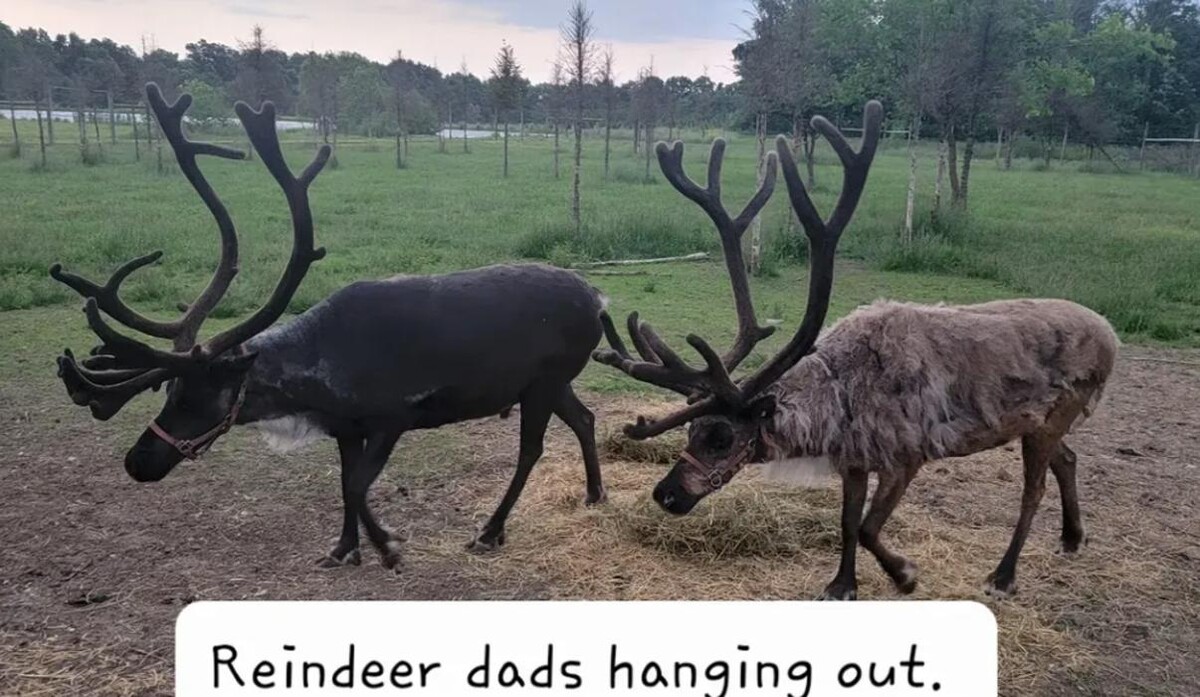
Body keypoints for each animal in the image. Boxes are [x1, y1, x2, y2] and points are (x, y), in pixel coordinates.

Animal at [49, 83, 612, 571]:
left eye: (201, 395)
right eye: (168, 390)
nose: (136, 461)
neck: (314, 383)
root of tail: (598, 299)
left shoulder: (393, 416)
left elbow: (358, 486)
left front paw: (387, 545)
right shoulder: (347, 427)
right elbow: (344, 482)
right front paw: (344, 548)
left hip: (542, 383)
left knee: (531, 449)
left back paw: (490, 530)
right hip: (551, 383)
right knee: (585, 419)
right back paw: (594, 492)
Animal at [595, 101, 1119, 600]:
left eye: (722, 437)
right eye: (692, 430)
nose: (664, 495)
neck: (839, 402)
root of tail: (1111, 334)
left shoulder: (906, 456)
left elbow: (867, 527)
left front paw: (905, 575)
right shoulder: (853, 459)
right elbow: (847, 523)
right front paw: (842, 585)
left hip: (1054, 414)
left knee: (1033, 490)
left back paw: (1004, 576)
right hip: (1039, 423)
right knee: (1068, 458)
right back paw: (1072, 537)